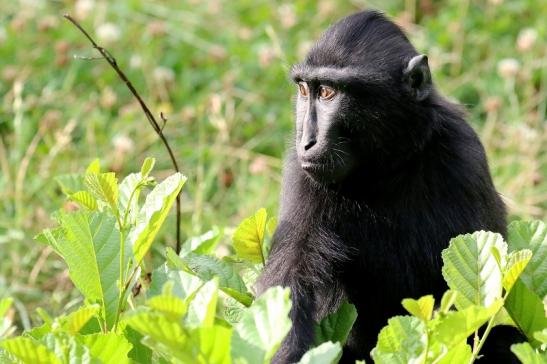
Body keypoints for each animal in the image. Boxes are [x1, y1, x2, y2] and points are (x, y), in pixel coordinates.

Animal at [260, 9, 524, 362]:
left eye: (328, 92)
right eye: (305, 90)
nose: (307, 142)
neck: (385, 168)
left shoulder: (464, 154)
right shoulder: (303, 174)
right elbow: (290, 281)